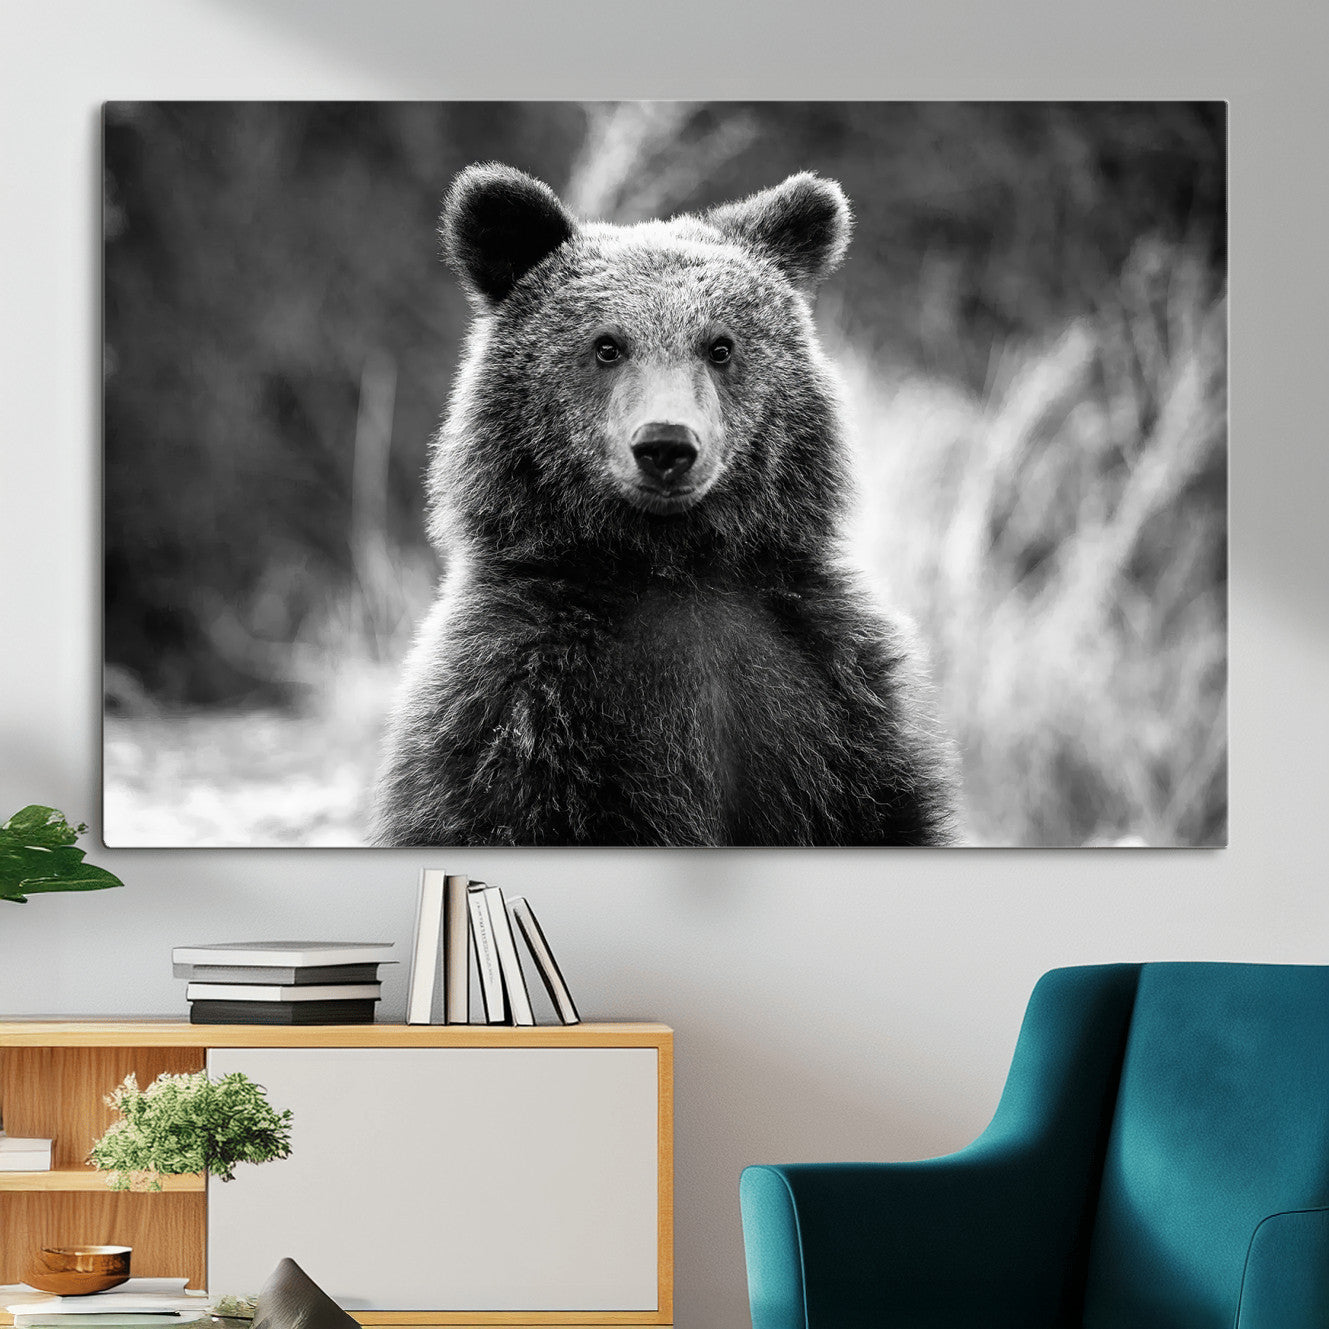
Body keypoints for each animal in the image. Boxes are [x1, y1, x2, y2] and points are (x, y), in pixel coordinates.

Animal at [371, 163, 956, 847]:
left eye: (721, 346)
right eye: (606, 345)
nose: (666, 445)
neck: (672, 565)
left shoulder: (834, 694)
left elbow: (886, 810)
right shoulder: (517, 704)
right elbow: (489, 810)